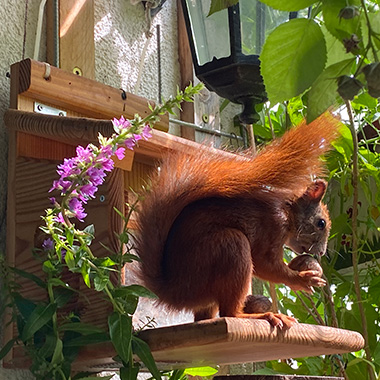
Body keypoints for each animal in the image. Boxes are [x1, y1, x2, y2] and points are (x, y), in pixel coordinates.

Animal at [135, 114, 340, 328]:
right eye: (321, 223)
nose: (321, 252)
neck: (288, 211)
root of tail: (174, 293)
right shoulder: (272, 226)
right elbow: (264, 263)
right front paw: (301, 280)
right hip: (229, 247)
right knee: (229, 312)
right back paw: (260, 316)